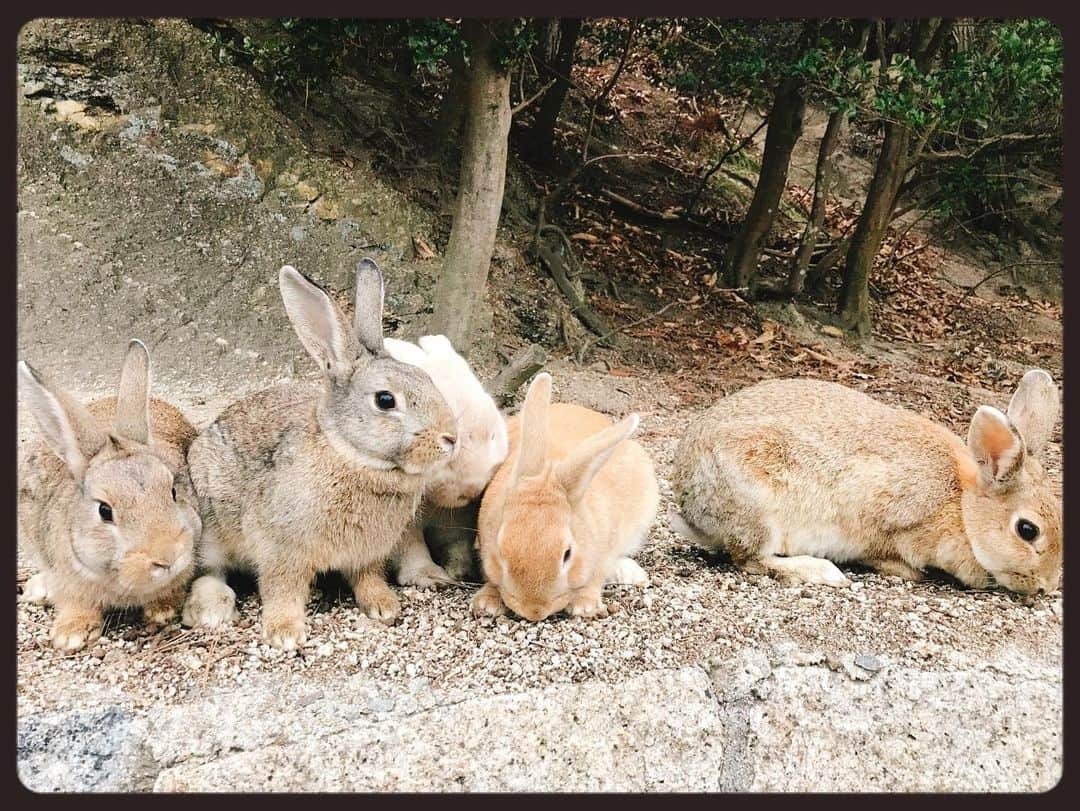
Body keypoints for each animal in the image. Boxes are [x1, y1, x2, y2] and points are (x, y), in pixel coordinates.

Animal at [16, 339, 201, 652]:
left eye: (173, 491)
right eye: (105, 511)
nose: (167, 557)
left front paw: (162, 611)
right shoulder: (65, 576)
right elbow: (74, 602)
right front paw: (71, 635)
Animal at [468, 373, 652, 622]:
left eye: (568, 554)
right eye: (501, 549)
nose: (534, 611)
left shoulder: (604, 549)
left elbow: (597, 575)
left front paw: (584, 606)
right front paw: (486, 603)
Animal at [669, 371, 1058, 591]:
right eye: (1027, 530)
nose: (1048, 586)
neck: (962, 509)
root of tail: (692, 506)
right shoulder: (888, 522)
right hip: (758, 508)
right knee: (749, 558)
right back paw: (822, 572)